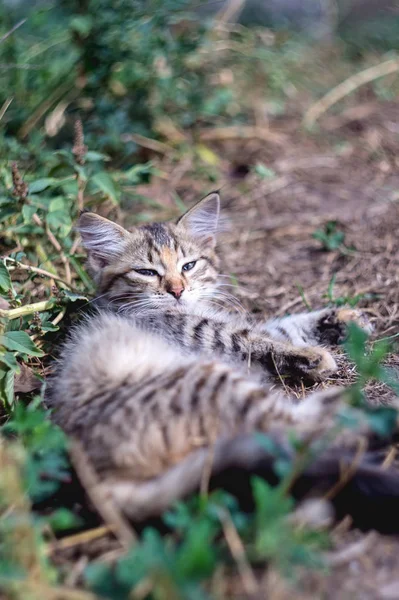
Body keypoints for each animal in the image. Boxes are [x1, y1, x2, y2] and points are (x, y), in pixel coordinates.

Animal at [44, 192, 399, 524]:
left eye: (188, 266)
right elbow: (256, 338)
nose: (177, 290)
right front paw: (311, 355)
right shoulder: (206, 333)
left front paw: (344, 318)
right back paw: (368, 412)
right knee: (293, 434)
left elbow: (284, 326)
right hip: (211, 382)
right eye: (146, 272)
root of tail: (97, 479)